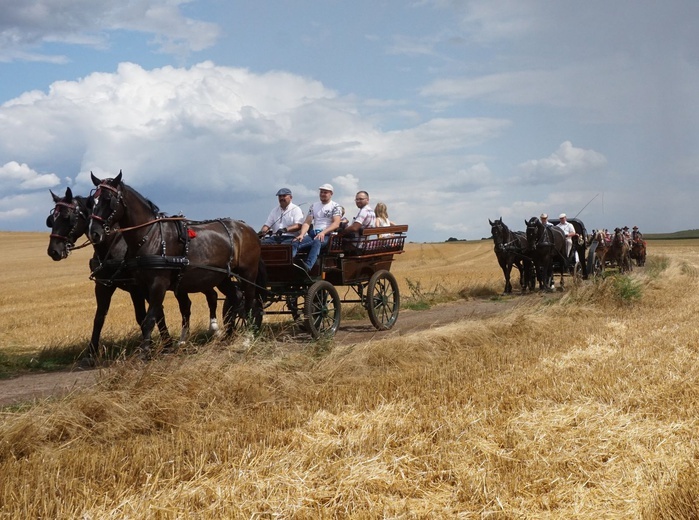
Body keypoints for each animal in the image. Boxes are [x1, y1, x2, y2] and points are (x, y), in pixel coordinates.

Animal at [46, 187, 220, 362]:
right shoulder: (104, 285)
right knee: (193, 302)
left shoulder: (140, 287)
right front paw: (91, 354)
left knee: (211, 296)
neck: (115, 246)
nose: (53, 251)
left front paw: (161, 345)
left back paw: (214, 329)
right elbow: (100, 317)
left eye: (67, 217)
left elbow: (150, 315)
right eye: (51, 221)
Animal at [87, 172, 262, 354]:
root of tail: (246, 227)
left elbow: (150, 318)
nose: (94, 233)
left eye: (109, 199)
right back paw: (228, 336)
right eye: (92, 201)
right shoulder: (140, 285)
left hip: (248, 273)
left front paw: (145, 352)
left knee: (249, 303)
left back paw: (247, 339)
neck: (151, 237)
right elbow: (150, 316)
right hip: (222, 276)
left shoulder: (158, 283)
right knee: (235, 298)